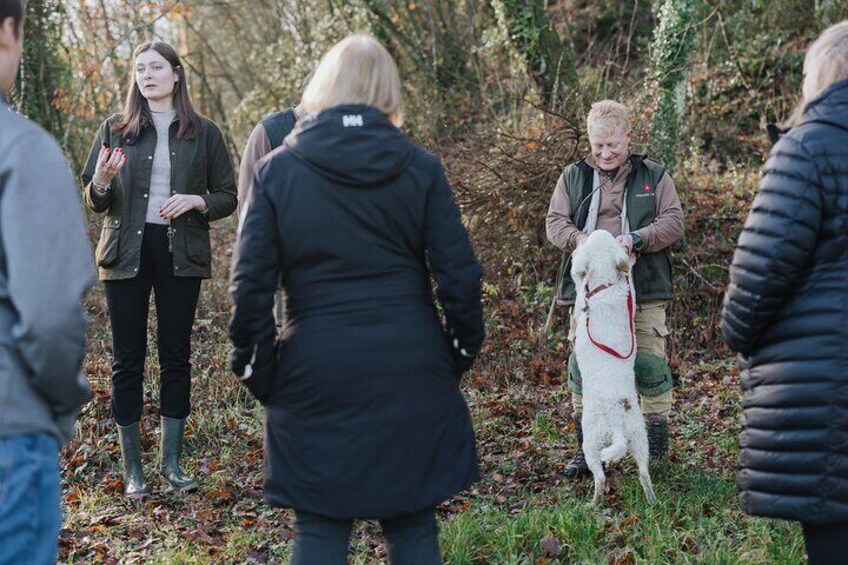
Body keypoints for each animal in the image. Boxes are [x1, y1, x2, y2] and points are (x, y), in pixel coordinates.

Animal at [568, 228, 656, 502]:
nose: (592, 230)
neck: (604, 284)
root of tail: (615, 420)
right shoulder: (630, 293)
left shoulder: (581, 293)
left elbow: (577, 275)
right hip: (639, 438)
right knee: (644, 474)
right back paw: (653, 500)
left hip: (591, 443)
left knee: (600, 477)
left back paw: (593, 504)